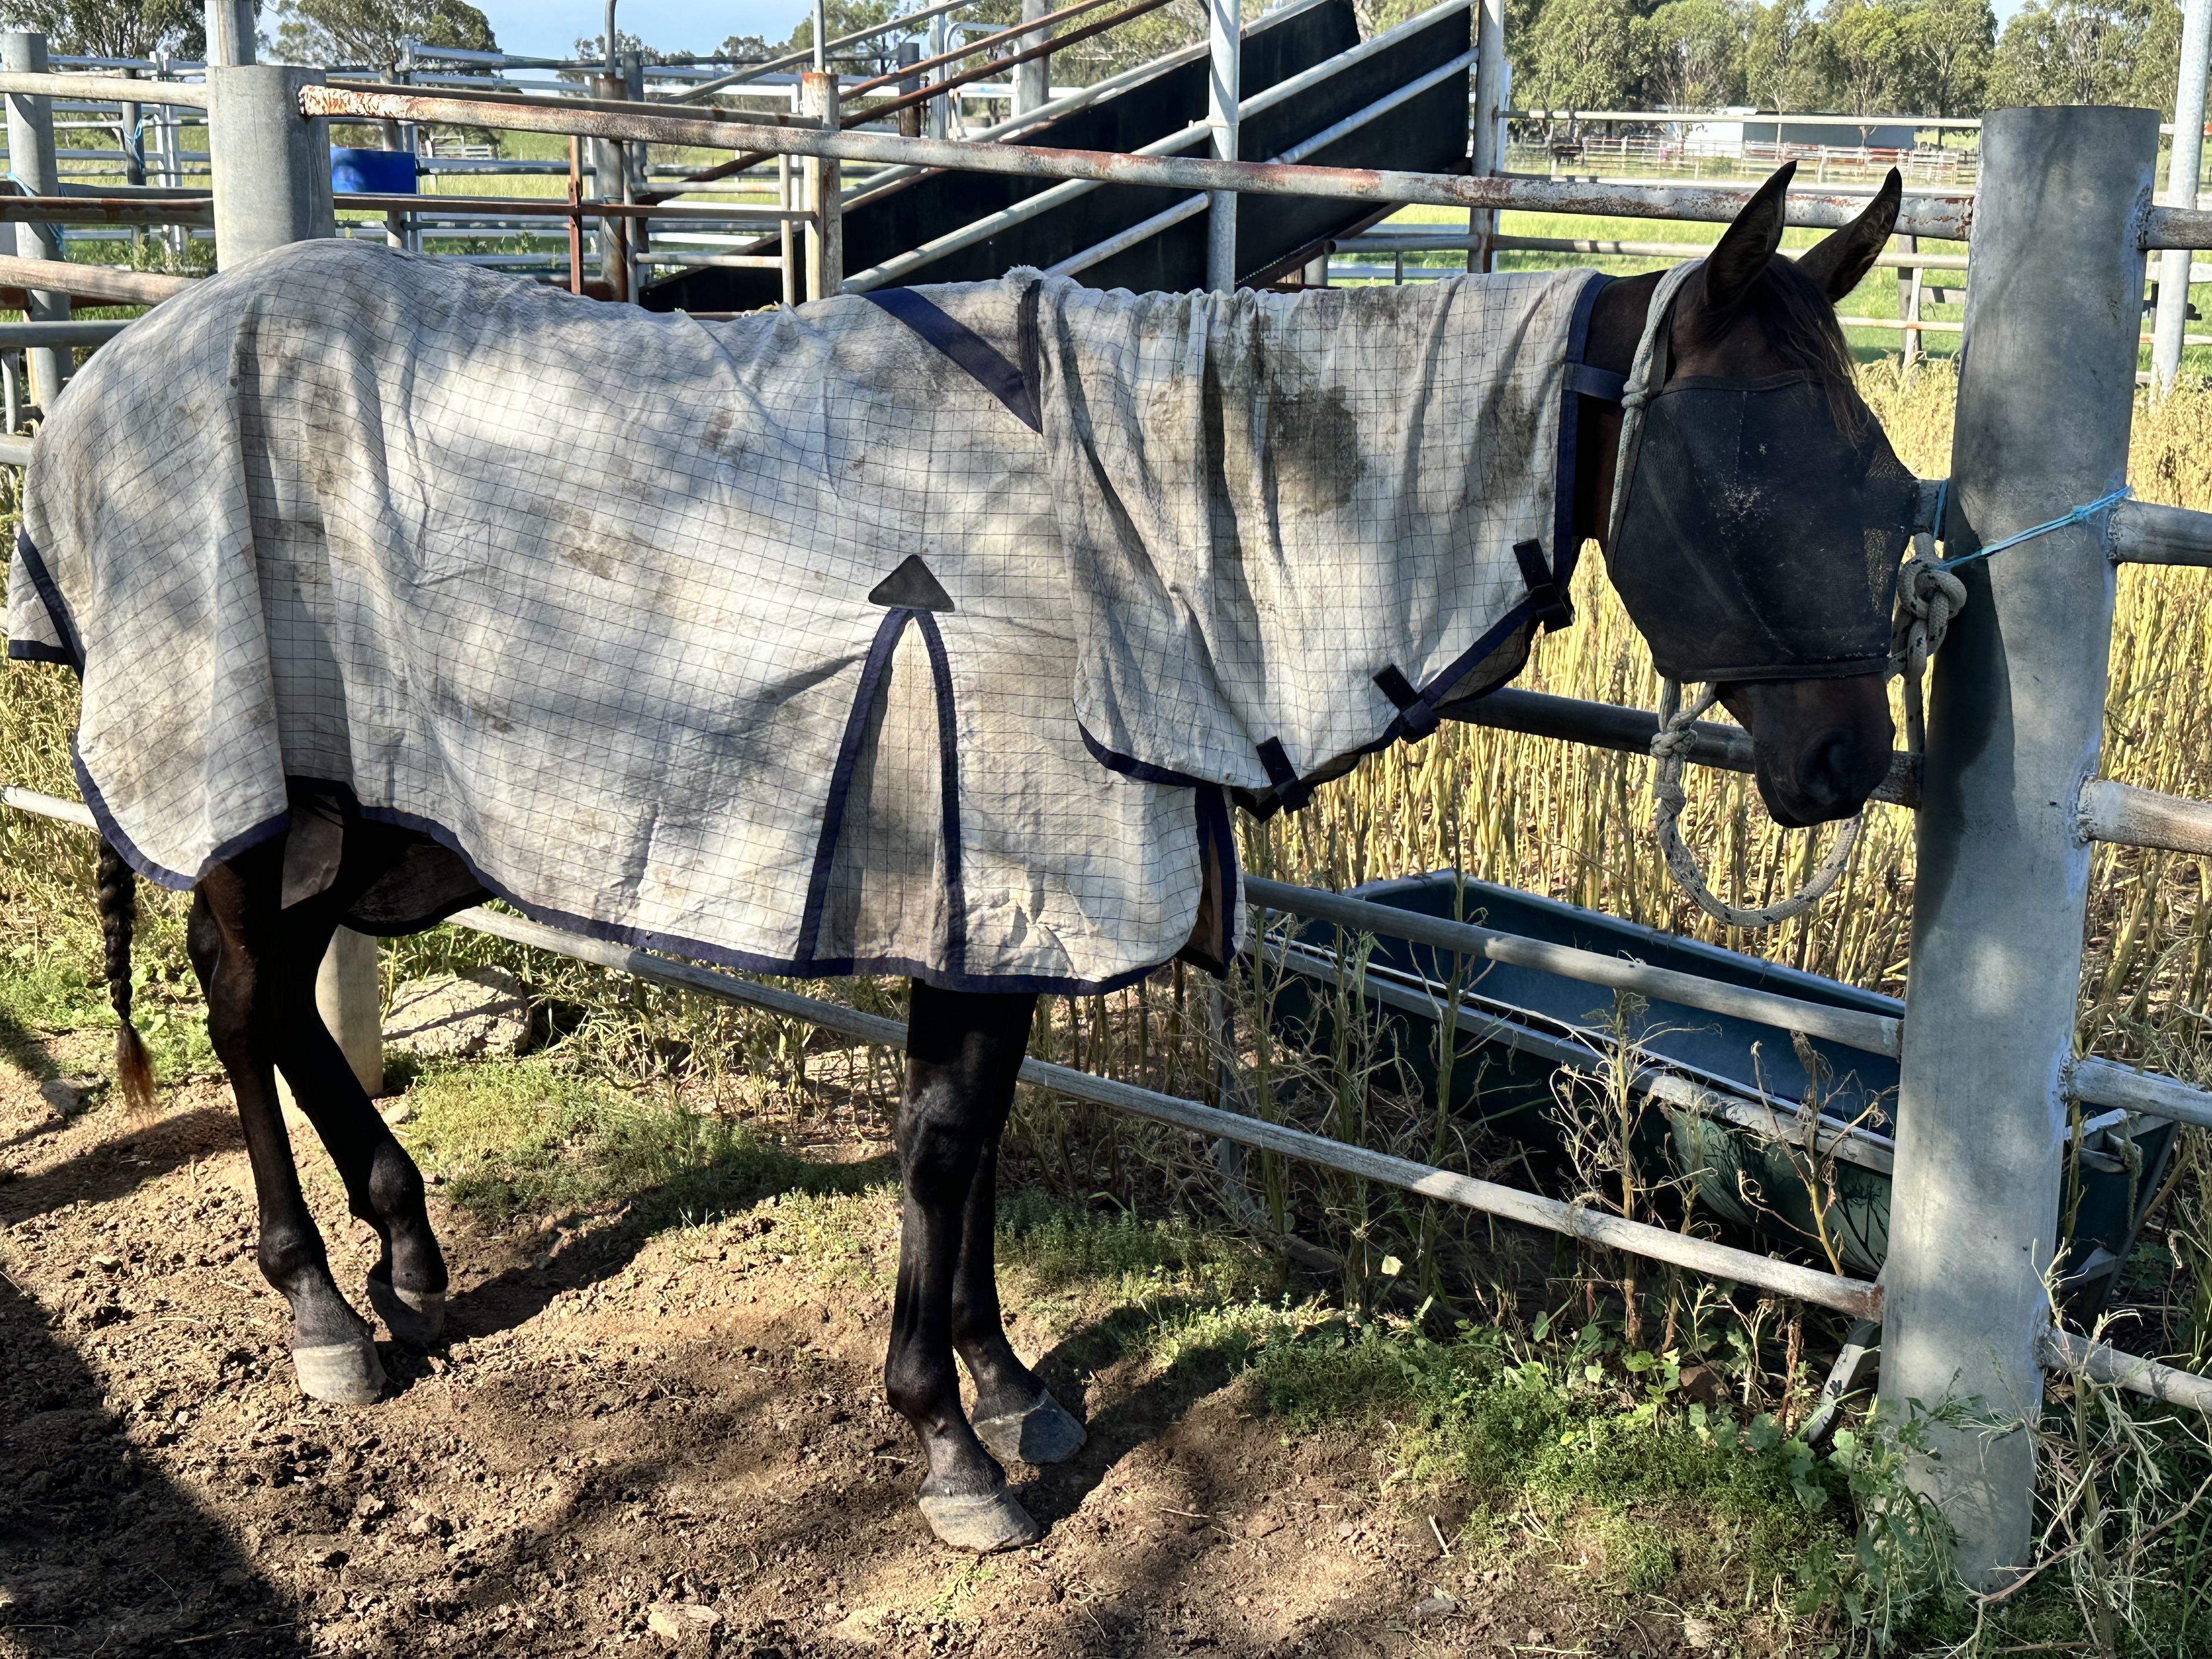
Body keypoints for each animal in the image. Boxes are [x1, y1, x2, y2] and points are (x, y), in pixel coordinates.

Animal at [12, 160, 1906, 1553]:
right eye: (1747, 469)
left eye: (1876, 460)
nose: (1851, 761)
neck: (1142, 540)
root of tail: (105, 378)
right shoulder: (977, 885)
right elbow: (940, 1149)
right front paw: (951, 1453)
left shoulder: (1021, 910)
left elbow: (982, 1142)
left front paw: (1005, 1385)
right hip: (267, 796)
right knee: (239, 994)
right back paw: (326, 1313)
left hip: (378, 823)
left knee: (279, 998)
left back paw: (407, 1257)